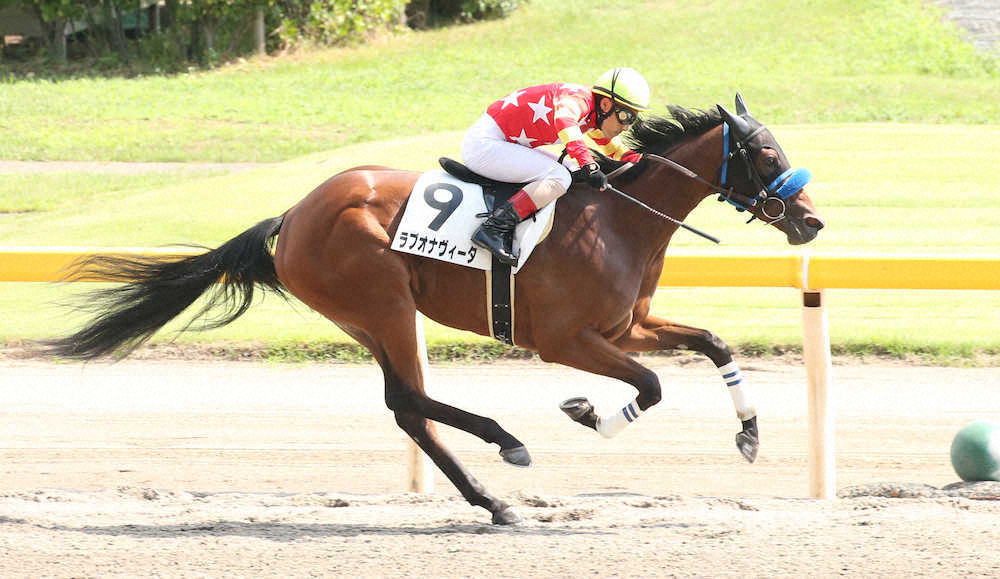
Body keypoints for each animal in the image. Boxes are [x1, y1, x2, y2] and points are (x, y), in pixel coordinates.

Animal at [45, 95, 825, 525]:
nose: (812, 221)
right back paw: (505, 444)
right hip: (383, 302)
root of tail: (292, 215)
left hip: (369, 318)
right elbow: (653, 386)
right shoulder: (566, 339)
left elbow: (714, 342)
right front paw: (587, 413)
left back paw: (493, 500)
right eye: (764, 154)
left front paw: (750, 435)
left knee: (408, 407)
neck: (617, 219)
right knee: (409, 400)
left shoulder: (626, 325)